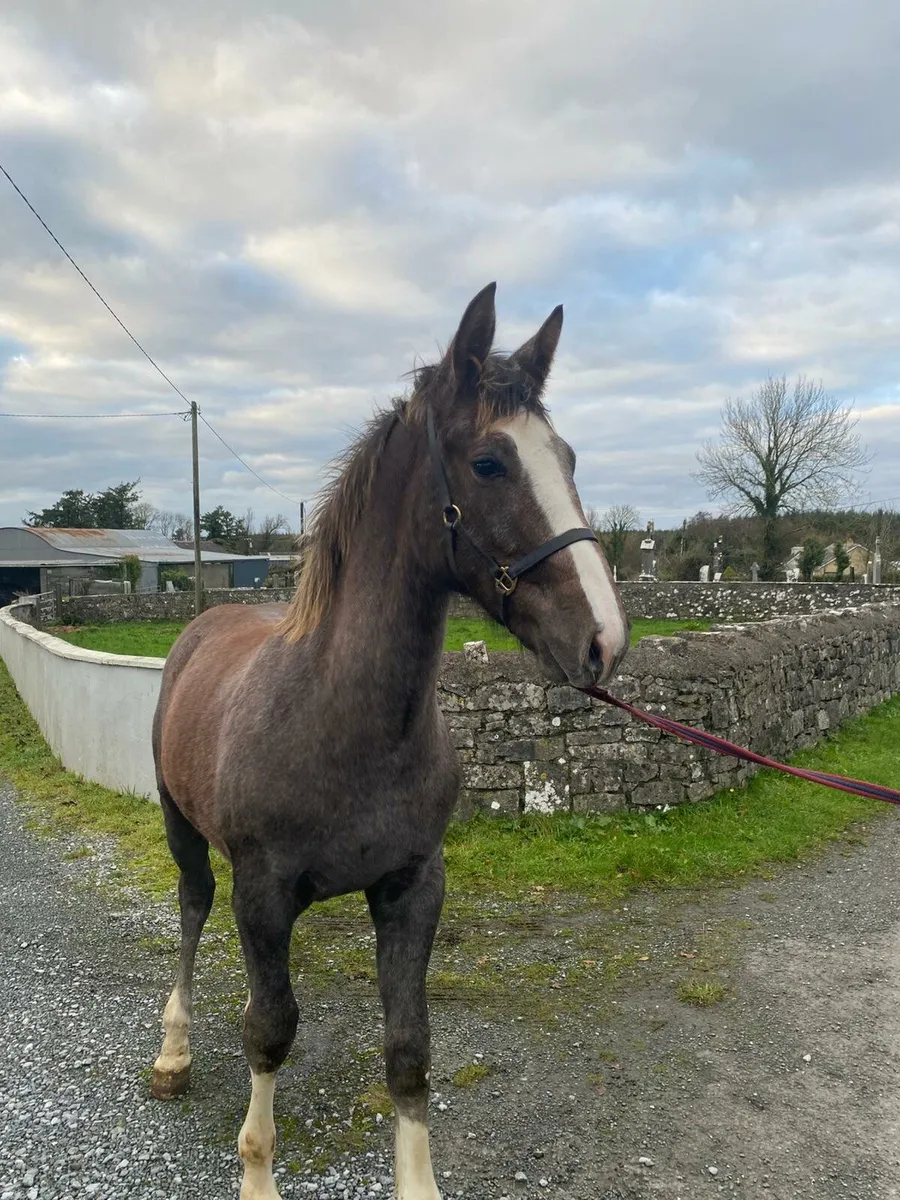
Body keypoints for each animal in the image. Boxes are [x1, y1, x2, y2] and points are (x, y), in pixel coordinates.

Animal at [149, 282, 630, 1200]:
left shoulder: (412, 888)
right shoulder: (262, 895)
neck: (341, 723)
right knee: (191, 911)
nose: (604, 642)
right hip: (182, 829)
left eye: (570, 457)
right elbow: (270, 1028)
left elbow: (408, 1048)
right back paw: (173, 1048)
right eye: (490, 463)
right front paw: (256, 1171)